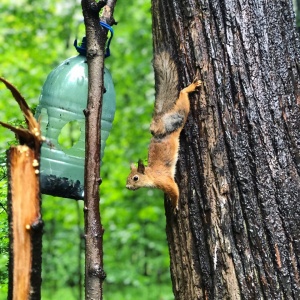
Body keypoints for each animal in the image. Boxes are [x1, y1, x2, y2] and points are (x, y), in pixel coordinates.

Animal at [125, 51, 200, 210]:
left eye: (135, 178)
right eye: (128, 177)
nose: (127, 187)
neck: (151, 175)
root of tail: (159, 125)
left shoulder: (165, 181)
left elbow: (175, 190)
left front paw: (175, 206)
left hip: (179, 116)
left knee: (183, 96)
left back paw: (190, 87)